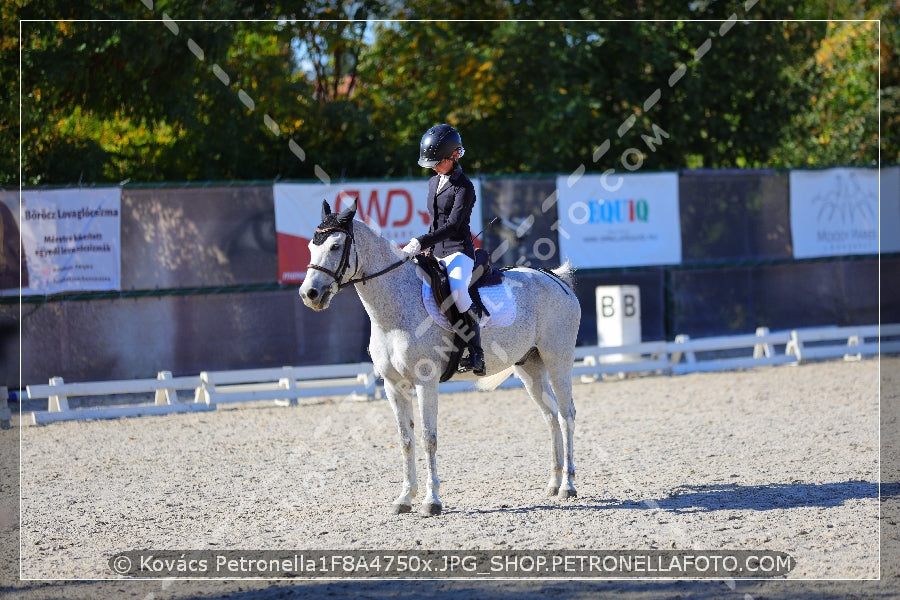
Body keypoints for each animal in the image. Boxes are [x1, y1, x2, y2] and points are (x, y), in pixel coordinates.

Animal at [300, 200, 584, 516]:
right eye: (311, 247)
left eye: (336, 246)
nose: (310, 294)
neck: (394, 310)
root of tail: (554, 278)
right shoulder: (393, 385)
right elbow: (405, 440)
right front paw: (404, 498)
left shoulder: (426, 382)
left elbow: (428, 438)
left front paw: (431, 501)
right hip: (530, 367)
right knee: (551, 416)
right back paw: (554, 484)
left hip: (558, 360)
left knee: (567, 415)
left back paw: (568, 486)